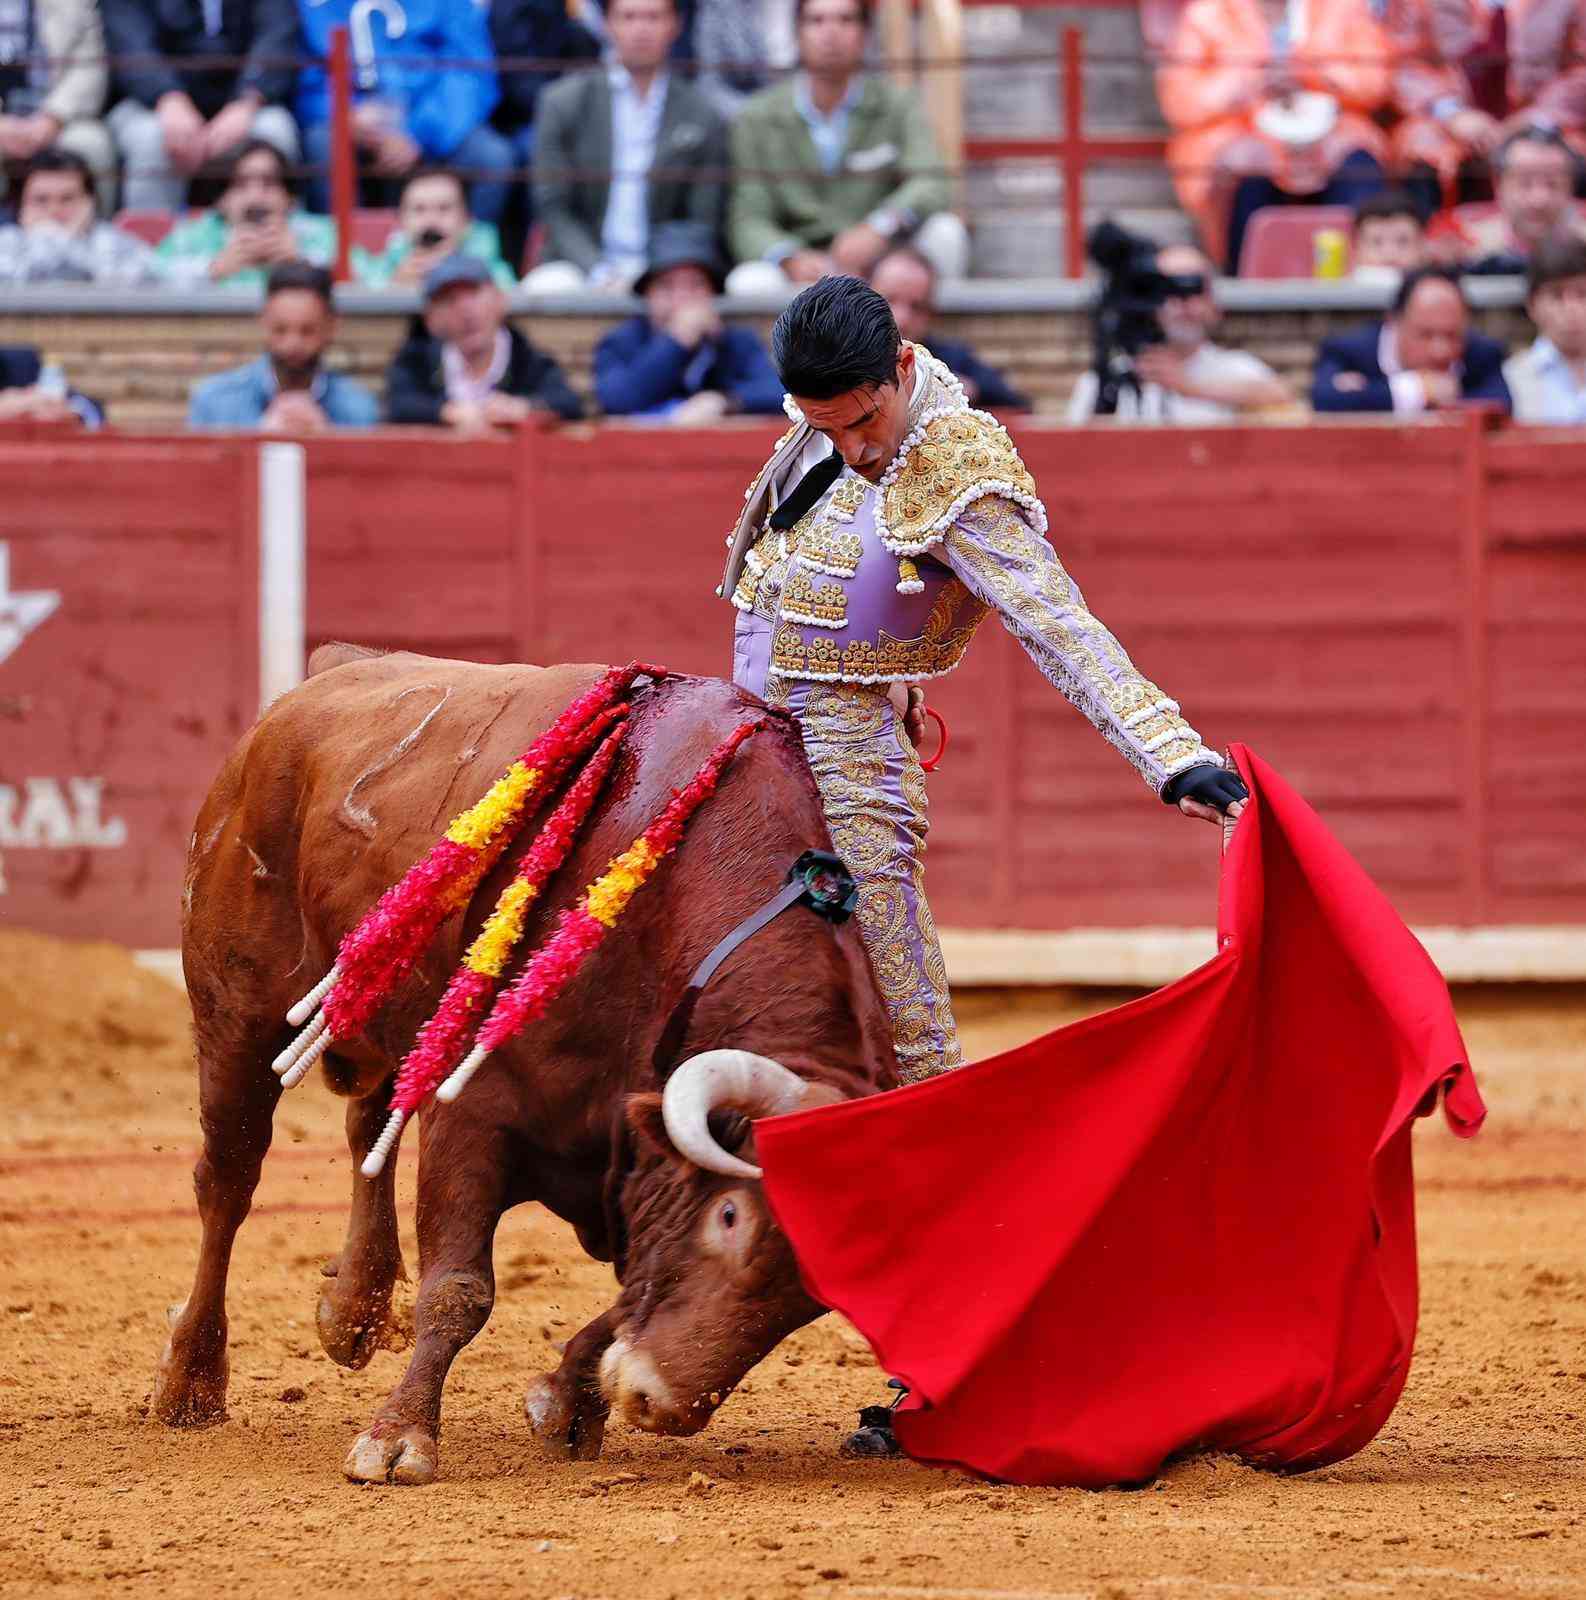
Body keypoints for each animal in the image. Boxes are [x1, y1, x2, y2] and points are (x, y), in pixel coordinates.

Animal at [152, 646, 898, 1483]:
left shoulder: (630, 1160)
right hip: (237, 1016)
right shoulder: (475, 1112)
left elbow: (628, 1290)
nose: (664, 1405)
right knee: (229, 1181)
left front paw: (569, 1403)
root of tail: (322, 678)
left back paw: (354, 1310)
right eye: (730, 1216)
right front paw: (399, 1439)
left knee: (367, 1124)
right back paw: (190, 1382)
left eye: (817, 1294)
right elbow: (460, 1290)